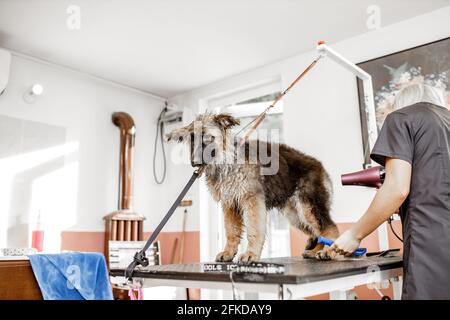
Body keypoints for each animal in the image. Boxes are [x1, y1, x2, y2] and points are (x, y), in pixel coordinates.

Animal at [167, 112, 340, 262]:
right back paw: (315, 251)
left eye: (208, 137)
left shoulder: (252, 200)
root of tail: (319, 165)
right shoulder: (230, 204)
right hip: (295, 214)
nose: (194, 163)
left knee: (330, 228)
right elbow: (231, 231)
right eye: (192, 139)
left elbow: (254, 229)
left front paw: (251, 254)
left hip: (307, 207)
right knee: (317, 232)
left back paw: (329, 252)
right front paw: (228, 252)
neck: (228, 159)